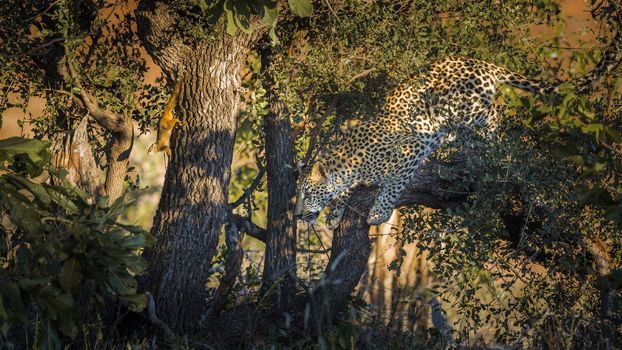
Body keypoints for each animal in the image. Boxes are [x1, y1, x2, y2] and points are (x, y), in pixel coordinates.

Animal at [294, 30, 620, 227]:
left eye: (306, 193)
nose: (297, 215)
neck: (350, 165)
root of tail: (483, 64)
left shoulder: (409, 149)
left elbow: (392, 184)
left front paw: (378, 212)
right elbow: (343, 193)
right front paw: (334, 216)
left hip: (464, 109)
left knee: (493, 116)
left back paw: (491, 142)